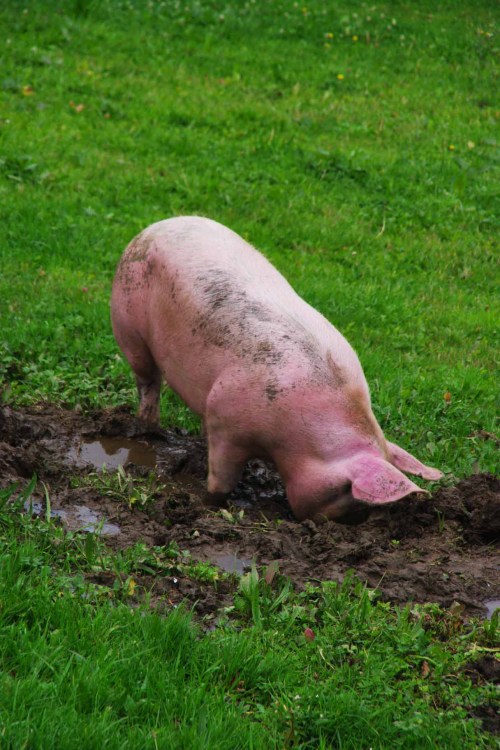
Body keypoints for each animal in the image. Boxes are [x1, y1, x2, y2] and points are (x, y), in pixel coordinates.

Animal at [111, 216, 442, 523]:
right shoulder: (226, 420)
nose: (356, 523)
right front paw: (211, 505)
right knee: (148, 383)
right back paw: (148, 427)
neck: (297, 439)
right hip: (128, 323)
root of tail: (155, 227)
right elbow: (221, 480)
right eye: (349, 496)